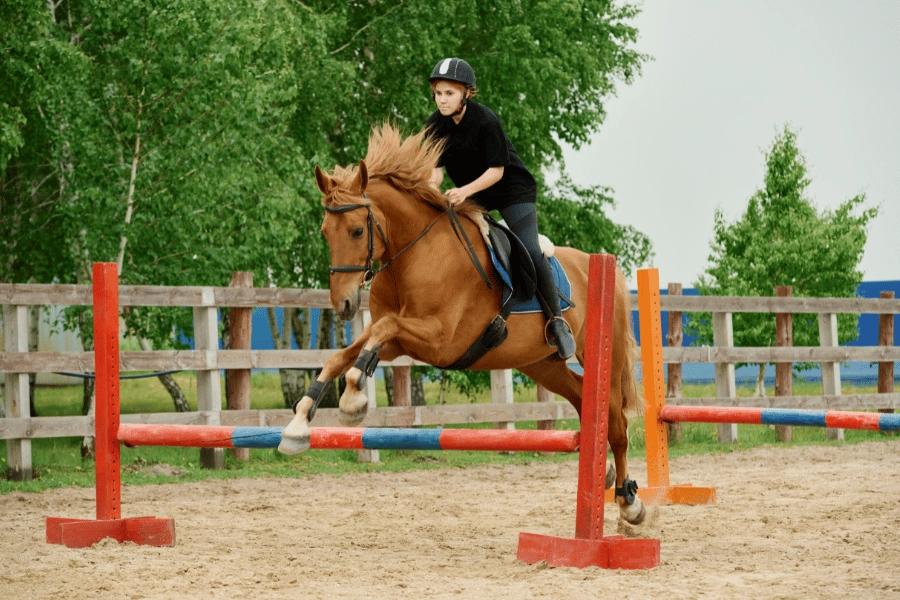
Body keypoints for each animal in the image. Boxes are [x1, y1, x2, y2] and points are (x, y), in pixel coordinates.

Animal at [278, 124, 646, 524]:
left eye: (358, 231)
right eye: (324, 231)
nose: (343, 304)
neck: (413, 254)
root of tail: (607, 269)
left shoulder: (441, 340)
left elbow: (382, 329)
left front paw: (352, 399)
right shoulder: (403, 343)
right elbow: (347, 352)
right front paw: (299, 423)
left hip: (600, 355)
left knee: (616, 421)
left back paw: (629, 501)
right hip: (541, 364)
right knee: (583, 398)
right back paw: (605, 472)